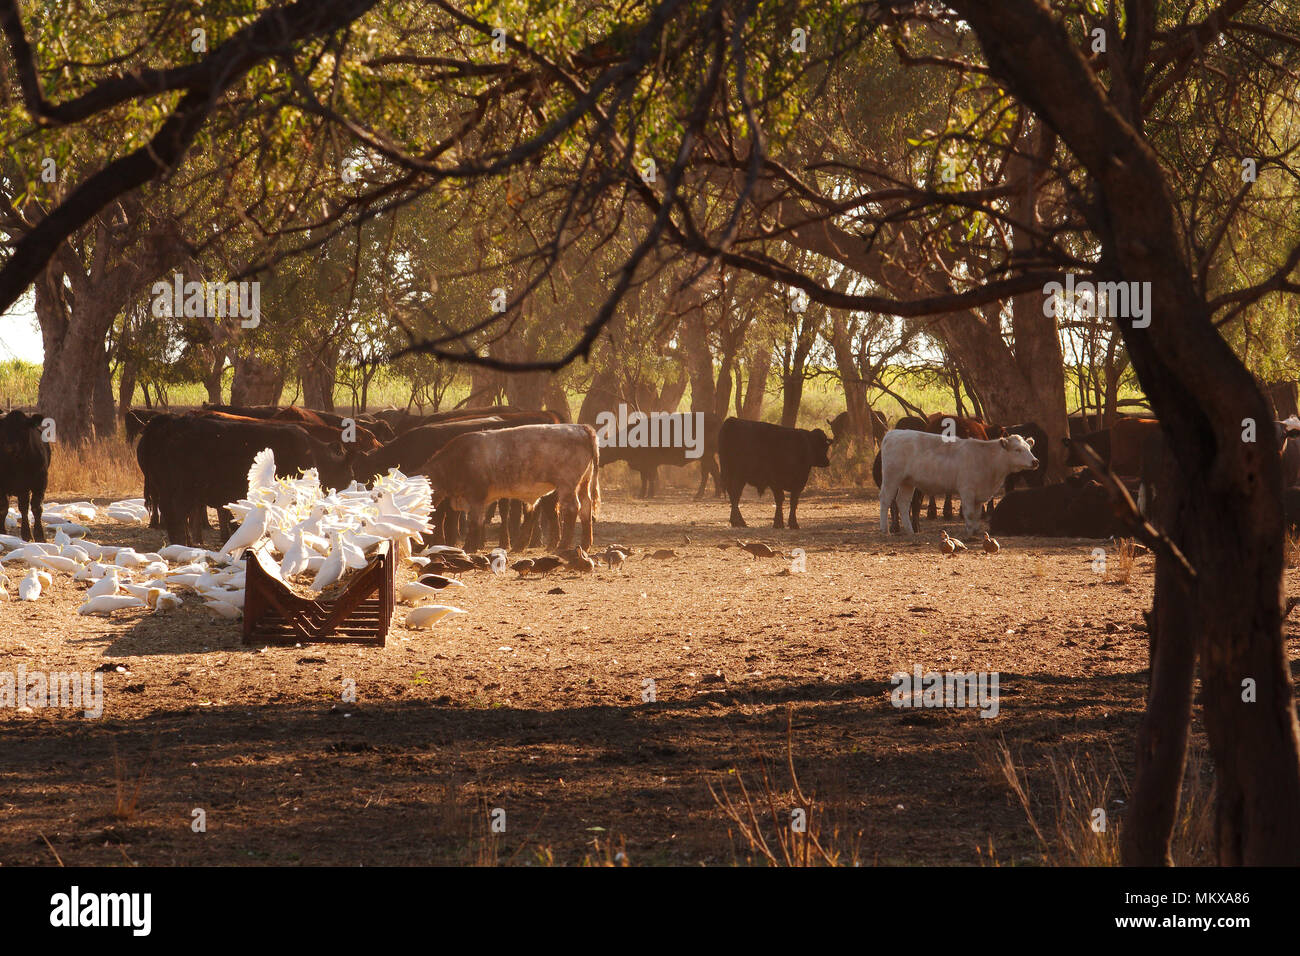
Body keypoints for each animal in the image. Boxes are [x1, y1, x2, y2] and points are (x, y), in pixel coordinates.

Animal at [0, 411, 50, 541]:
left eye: (23, 429)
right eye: (4, 429)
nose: (9, 446)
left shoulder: (39, 483)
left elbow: (36, 508)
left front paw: (38, 535)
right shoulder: (3, 486)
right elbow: (3, 507)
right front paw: (2, 532)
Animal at [878, 434, 1040, 538]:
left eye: (1029, 448)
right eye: (1017, 450)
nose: (1035, 461)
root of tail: (892, 434)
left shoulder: (979, 495)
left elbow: (977, 514)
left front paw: (975, 531)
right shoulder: (967, 490)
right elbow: (969, 513)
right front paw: (968, 534)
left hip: (907, 482)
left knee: (903, 502)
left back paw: (910, 531)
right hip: (892, 477)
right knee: (885, 500)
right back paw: (885, 530)